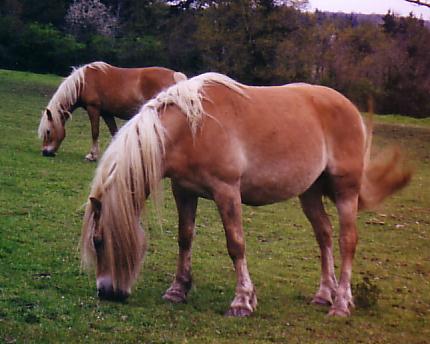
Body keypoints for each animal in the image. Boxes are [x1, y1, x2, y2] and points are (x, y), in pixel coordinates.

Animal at [37, 61, 185, 161]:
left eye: (48, 131)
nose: (45, 152)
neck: (83, 82)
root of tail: (175, 76)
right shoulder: (106, 114)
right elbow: (114, 132)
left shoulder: (93, 109)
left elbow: (95, 132)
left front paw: (92, 155)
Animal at [79, 72, 412, 318]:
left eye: (99, 241)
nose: (106, 292)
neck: (192, 128)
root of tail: (349, 107)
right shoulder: (183, 191)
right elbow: (185, 238)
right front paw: (178, 290)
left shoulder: (227, 191)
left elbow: (235, 244)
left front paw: (242, 302)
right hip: (310, 192)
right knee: (325, 235)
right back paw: (323, 295)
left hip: (346, 191)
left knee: (347, 241)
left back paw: (341, 304)